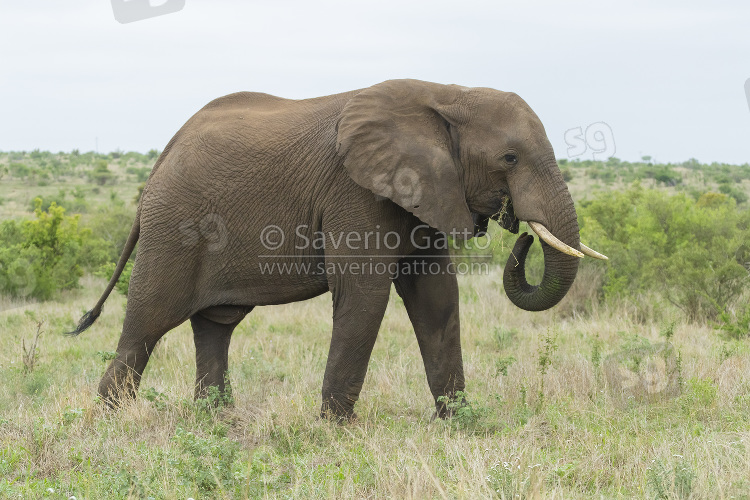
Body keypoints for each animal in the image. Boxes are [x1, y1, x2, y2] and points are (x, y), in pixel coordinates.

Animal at [67, 78, 612, 420]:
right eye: (510, 158)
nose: (521, 229)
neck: (447, 94)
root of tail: (160, 160)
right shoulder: (357, 192)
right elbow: (365, 294)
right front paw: (335, 429)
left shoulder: (427, 192)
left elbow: (436, 297)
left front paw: (459, 422)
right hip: (174, 228)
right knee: (147, 325)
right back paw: (112, 423)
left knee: (215, 325)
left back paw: (215, 419)